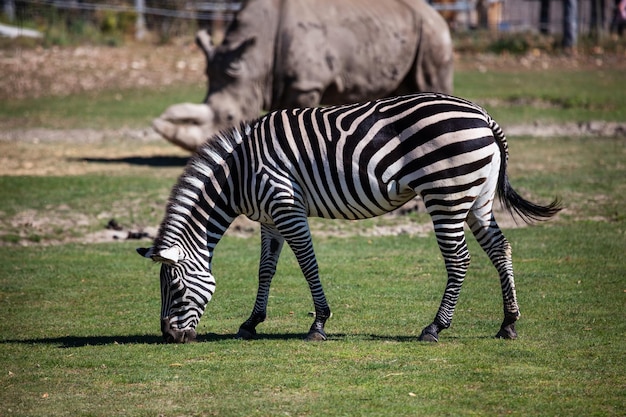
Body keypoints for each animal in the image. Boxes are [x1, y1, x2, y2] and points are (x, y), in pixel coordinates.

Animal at [136, 92, 560, 342]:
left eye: (174, 288)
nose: (168, 337)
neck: (239, 174)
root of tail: (484, 116)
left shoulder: (287, 206)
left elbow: (308, 264)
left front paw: (318, 324)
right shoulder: (269, 219)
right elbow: (265, 270)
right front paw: (251, 322)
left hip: (446, 195)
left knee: (460, 260)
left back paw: (434, 327)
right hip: (476, 198)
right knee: (500, 248)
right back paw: (508, 323)